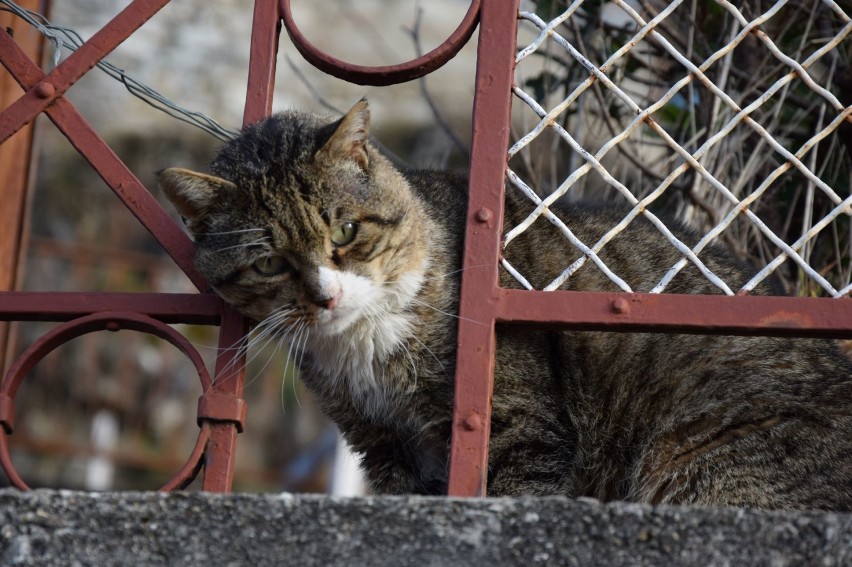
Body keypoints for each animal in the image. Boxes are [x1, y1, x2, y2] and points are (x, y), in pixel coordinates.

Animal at [161, 98, 852, 510]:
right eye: (270, 264)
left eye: (346, 232)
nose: (325, 296)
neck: (366, 349)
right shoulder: (381, 445)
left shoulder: (515, 421)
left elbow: (517, 486)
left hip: (702, 463)